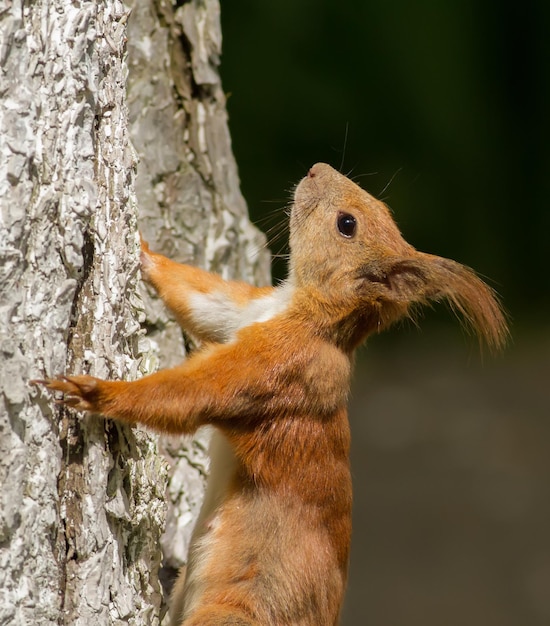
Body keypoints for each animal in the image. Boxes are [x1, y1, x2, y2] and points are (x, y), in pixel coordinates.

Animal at [34, 163, 508, 620]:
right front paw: (144, 251)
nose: (317, 168)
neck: (310, 319)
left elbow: (190, 393)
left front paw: (95, 392)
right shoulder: (245, 312)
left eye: (347, 224)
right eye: (383, 211)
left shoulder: (271, 368)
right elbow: (207, 303)